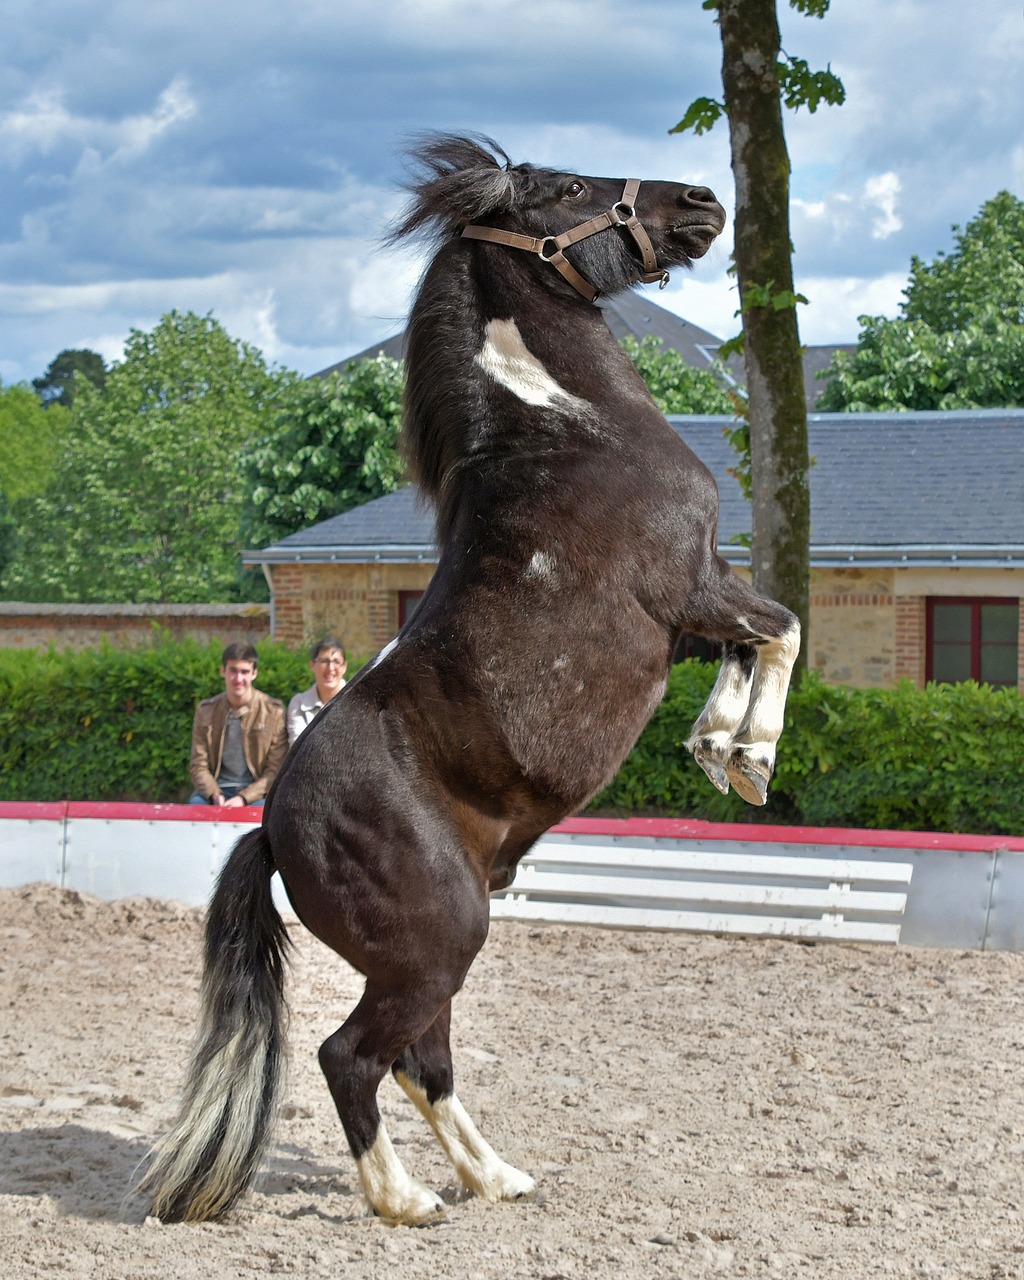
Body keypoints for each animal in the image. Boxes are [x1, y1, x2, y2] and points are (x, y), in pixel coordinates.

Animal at [142, 135, 798, 1223]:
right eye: (569, 186)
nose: (701, 199)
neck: (567, 428)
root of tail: (272, 827)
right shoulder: (692, 589)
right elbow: (781, 628)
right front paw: (746, 754)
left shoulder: (703, 606)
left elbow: (758, 642)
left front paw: (719, 748)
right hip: (439, 938)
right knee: (354, 1056)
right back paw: (407, 1199)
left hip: (435, 953)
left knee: (423, 1062)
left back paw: (495, 1177)